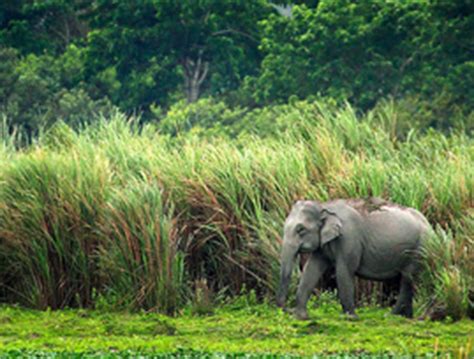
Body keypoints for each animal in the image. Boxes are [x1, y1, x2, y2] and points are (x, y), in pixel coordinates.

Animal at [276, 200, 432, 320]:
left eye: (300, 230)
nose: (286, 309)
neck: (325, 206)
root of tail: (428, 223)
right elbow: (311, 270)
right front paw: (301, 317)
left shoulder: (348, 238)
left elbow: (344, 271)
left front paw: (350, 318)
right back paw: (406, 317)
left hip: (419, 248)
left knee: (407, 278)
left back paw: (391, 316)